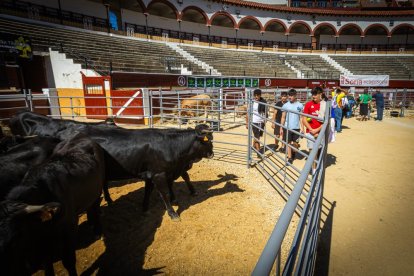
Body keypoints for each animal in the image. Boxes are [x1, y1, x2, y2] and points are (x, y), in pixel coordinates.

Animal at [10, 111, 213, 221]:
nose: (212, 154)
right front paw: (173, 213)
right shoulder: (158, 174)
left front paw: (145, 208)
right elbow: (163, 194)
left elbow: (149, 192)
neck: (169, 145)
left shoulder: (150, 173)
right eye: (208, 141)